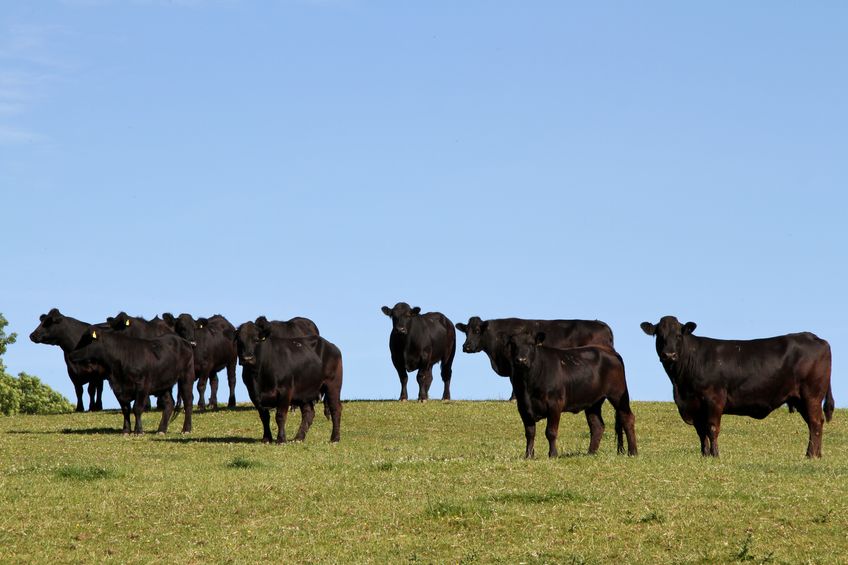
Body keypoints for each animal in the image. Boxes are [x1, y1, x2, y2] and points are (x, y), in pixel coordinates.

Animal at [504, 330, 636, 458]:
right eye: (513, 344)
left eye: (531, 344)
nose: (521, 360)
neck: (529, 383)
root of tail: (609, 351)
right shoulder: (523, 406)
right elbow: (530, 433)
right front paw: (528, 455)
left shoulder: (555, 404)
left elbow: (550, 432)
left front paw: (553, 454)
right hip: (593, 401)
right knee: (597, 425)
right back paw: (590, 453)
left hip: (618, 394)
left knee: (627, 417)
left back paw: (633, 452)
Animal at [644, 316, 836, 456]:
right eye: (659, 336)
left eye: (678, 335)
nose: (669, 355)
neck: (681, 386)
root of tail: (814, 337)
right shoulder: (694, 406)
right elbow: (701, 432)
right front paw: (704, 454)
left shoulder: (714, 399)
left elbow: (712, 428)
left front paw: (715, 455)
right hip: (800, 398)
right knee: (813, 423)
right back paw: (816, 454)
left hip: (812, 395)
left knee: (815, 422)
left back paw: (811, 455)